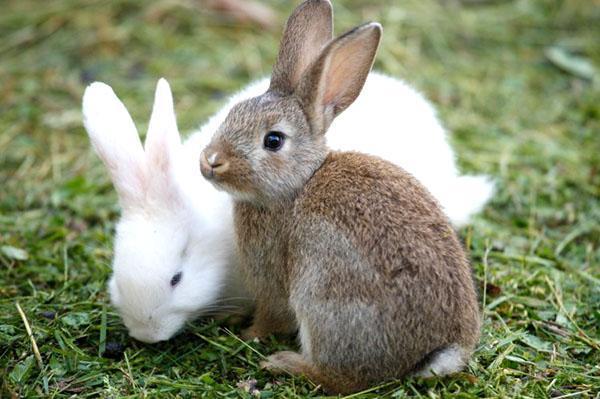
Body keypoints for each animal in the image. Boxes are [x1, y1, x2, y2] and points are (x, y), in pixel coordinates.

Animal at [199, 0, 480, 394]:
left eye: (273, 140)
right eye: (232, 114)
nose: (210, 161)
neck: (298, 185)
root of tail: (438, 351)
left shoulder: (274, 282)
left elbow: (271, 317)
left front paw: (247, 334)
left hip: (324, 301)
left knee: (343, 378)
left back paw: (285, 364)